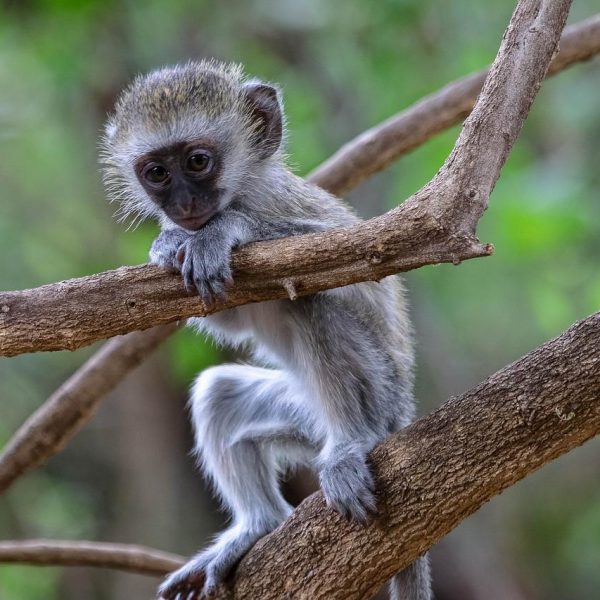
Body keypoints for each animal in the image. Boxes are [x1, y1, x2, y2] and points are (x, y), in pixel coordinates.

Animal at [103, 61, 432, 600]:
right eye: (157, 173)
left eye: (198, 162)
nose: (184, 206)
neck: (243, 190)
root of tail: (401, 413)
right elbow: (225, 313)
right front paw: (170, 242)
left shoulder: (277, 203)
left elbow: (366, 262)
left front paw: (222, 232)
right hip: (302, 418)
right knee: (219, 394)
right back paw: (258, 524)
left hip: (381, 399)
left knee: (313, 307)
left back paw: (352, 442)